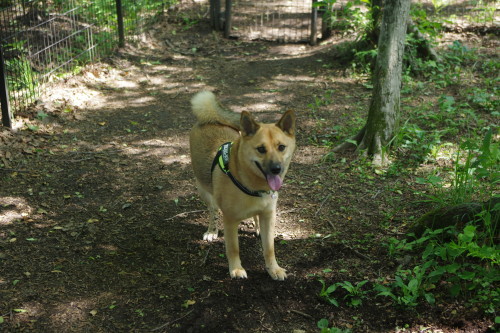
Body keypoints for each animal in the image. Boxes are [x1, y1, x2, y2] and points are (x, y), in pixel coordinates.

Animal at [189, 89, 294, 278]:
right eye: (261, 149)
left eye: (281, 147)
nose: (276, 169)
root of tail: (210, 119)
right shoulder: (230, 220)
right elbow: (233, 249)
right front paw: (236, 269)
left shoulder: (269, 215)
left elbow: (269, 249)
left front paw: (273, 269)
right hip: (205, 191)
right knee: (213, 211)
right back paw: (212, 230)